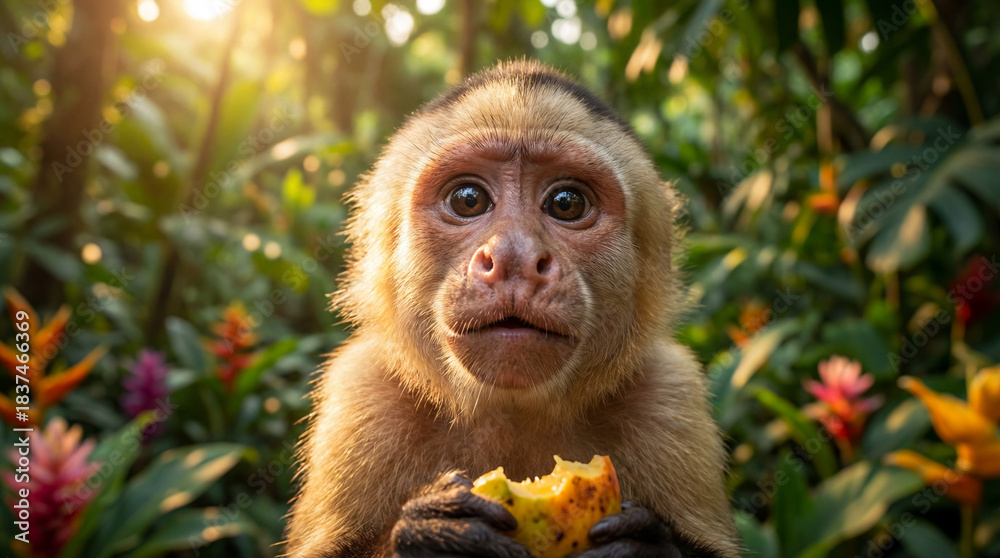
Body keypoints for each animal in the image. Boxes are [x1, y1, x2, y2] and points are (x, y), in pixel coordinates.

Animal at [283, 60, 741, 558]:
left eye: (567, 203)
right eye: (468, 199)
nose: (515, 256)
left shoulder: (670, 393)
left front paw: (643, 546)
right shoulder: (361, 390)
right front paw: (433, 535)